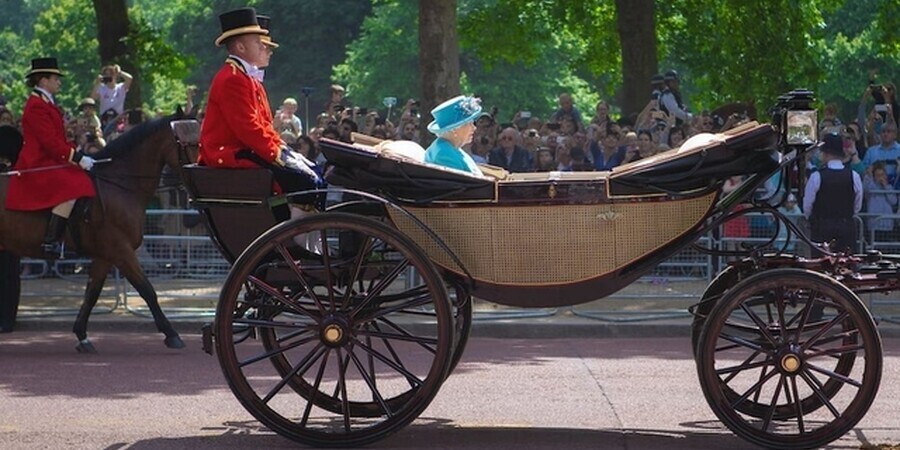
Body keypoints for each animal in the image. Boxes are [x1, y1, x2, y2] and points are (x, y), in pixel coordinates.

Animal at [0, 111, 196, 352]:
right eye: (188, 142)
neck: (119, 184)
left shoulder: (105, 256)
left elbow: (92, 294)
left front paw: (82, 336)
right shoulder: (121, 251)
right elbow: (147, 289)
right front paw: (171, 334)